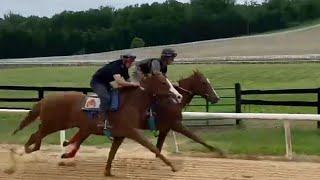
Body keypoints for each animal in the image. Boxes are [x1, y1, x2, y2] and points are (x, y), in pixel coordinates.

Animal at [11, 72, 182, 175]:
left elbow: (112, 153)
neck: (131, 103)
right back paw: (20, 151)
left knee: (38, 135)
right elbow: (153, 147)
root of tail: (45, 99)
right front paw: (173, 166)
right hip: (53, 124)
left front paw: (107, 172)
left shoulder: (119, 135)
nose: (179, 96)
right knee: (35, 135)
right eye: (163, 82)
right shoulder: (132, 132)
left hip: (58, 125)